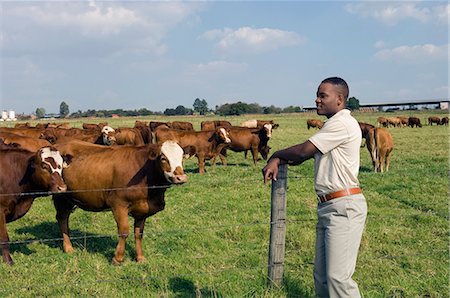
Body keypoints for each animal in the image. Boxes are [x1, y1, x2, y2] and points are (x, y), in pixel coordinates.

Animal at [52, 140, 186, 264]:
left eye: (181, 156)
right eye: (163, 158)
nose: (181, 178)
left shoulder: (142, 209)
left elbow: (139, 233)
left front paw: (140, 257)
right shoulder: (118, 204)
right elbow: (124, 231)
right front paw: (118, 258)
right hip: (61, 197)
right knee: (62, 218)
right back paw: (68, 247)